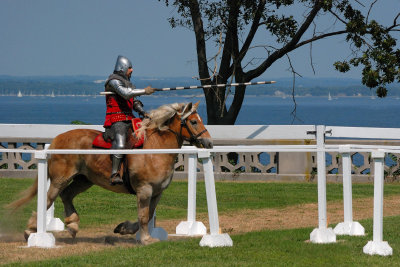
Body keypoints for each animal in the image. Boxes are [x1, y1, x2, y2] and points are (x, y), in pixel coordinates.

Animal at [8, 102, 212, 247]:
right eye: (194, 121)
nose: (208, 143)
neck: (156, 149)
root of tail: (58, 139)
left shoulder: (156, 192)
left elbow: (146, 216)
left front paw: (124, 228)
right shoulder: (144, 190)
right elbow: (144, 216)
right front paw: (146, 239)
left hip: (84, 180)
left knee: (67, 195)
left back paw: (72, 224)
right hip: (60, 179)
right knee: (49, 199)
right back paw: (32, 230)